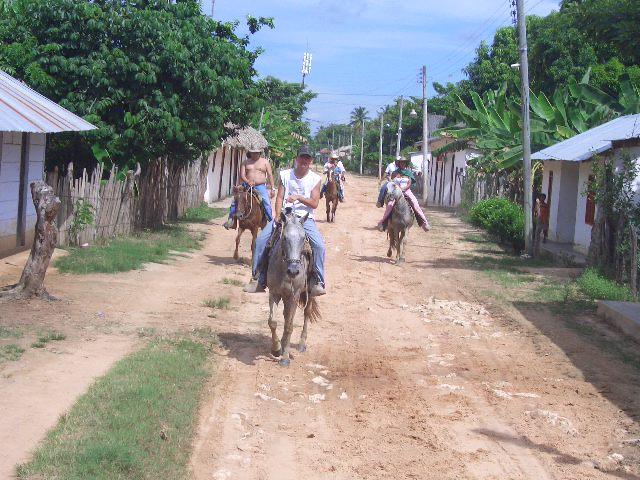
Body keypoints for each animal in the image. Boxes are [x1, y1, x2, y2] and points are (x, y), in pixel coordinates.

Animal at [268, 208, 322, 366]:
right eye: (284, 238)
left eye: (303, 238)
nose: (293, 270)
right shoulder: (274, 293)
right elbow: (273, 322)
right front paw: (276, 349)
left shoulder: (294, 295)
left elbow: (289, 326)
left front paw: (285, 357)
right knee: (286, 316)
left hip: (309, 293)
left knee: (306, 313)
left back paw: (302, 344)